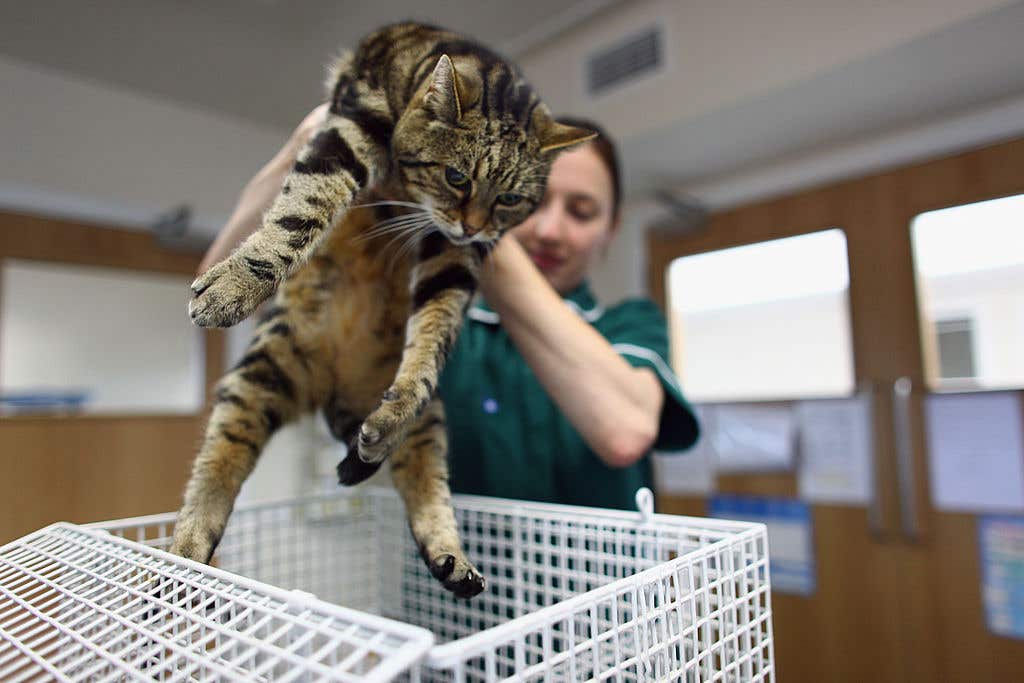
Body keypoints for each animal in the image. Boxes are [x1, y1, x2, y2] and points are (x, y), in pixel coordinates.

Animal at [172, 21, 598, 598]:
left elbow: (436, 326)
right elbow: (305, 204)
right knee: (217, 463)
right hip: (258, 377)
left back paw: (449, 556)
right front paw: (237, 281)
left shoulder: (453, 256)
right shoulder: (353, 122)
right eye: (457, 177)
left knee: (421, 477)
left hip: (427, 421)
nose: (473, 226)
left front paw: (403, 396)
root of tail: (330, 390)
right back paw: (183, 557)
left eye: (509, 200)